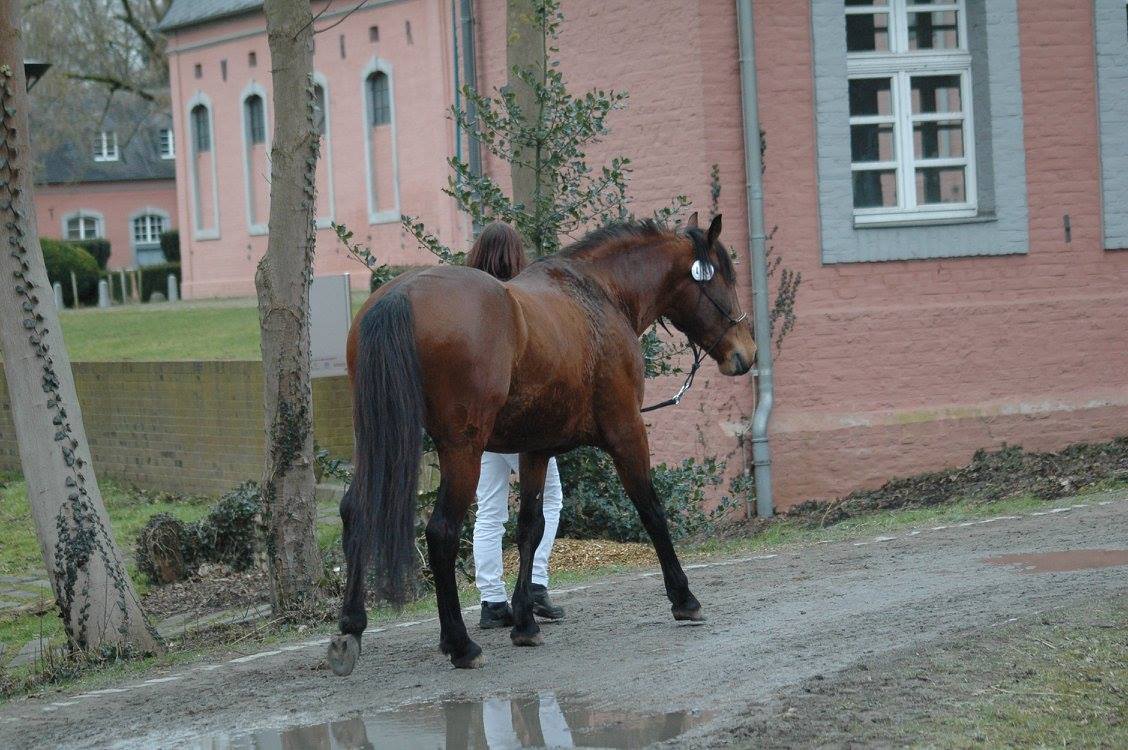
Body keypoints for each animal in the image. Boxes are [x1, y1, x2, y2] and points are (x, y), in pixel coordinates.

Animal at [329, 208, 762, 672]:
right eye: (725, 278)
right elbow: (652, 510)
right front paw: (684, 598)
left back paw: (351, 625)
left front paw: (524, 621)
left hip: (375, 440)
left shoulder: (534, 448)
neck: (601, 295)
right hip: (462, 450)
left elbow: (530, 528)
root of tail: (400, 295)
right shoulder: (627, 431)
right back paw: (460, 644)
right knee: (442, 531)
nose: (746, 353)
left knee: (355, 509)